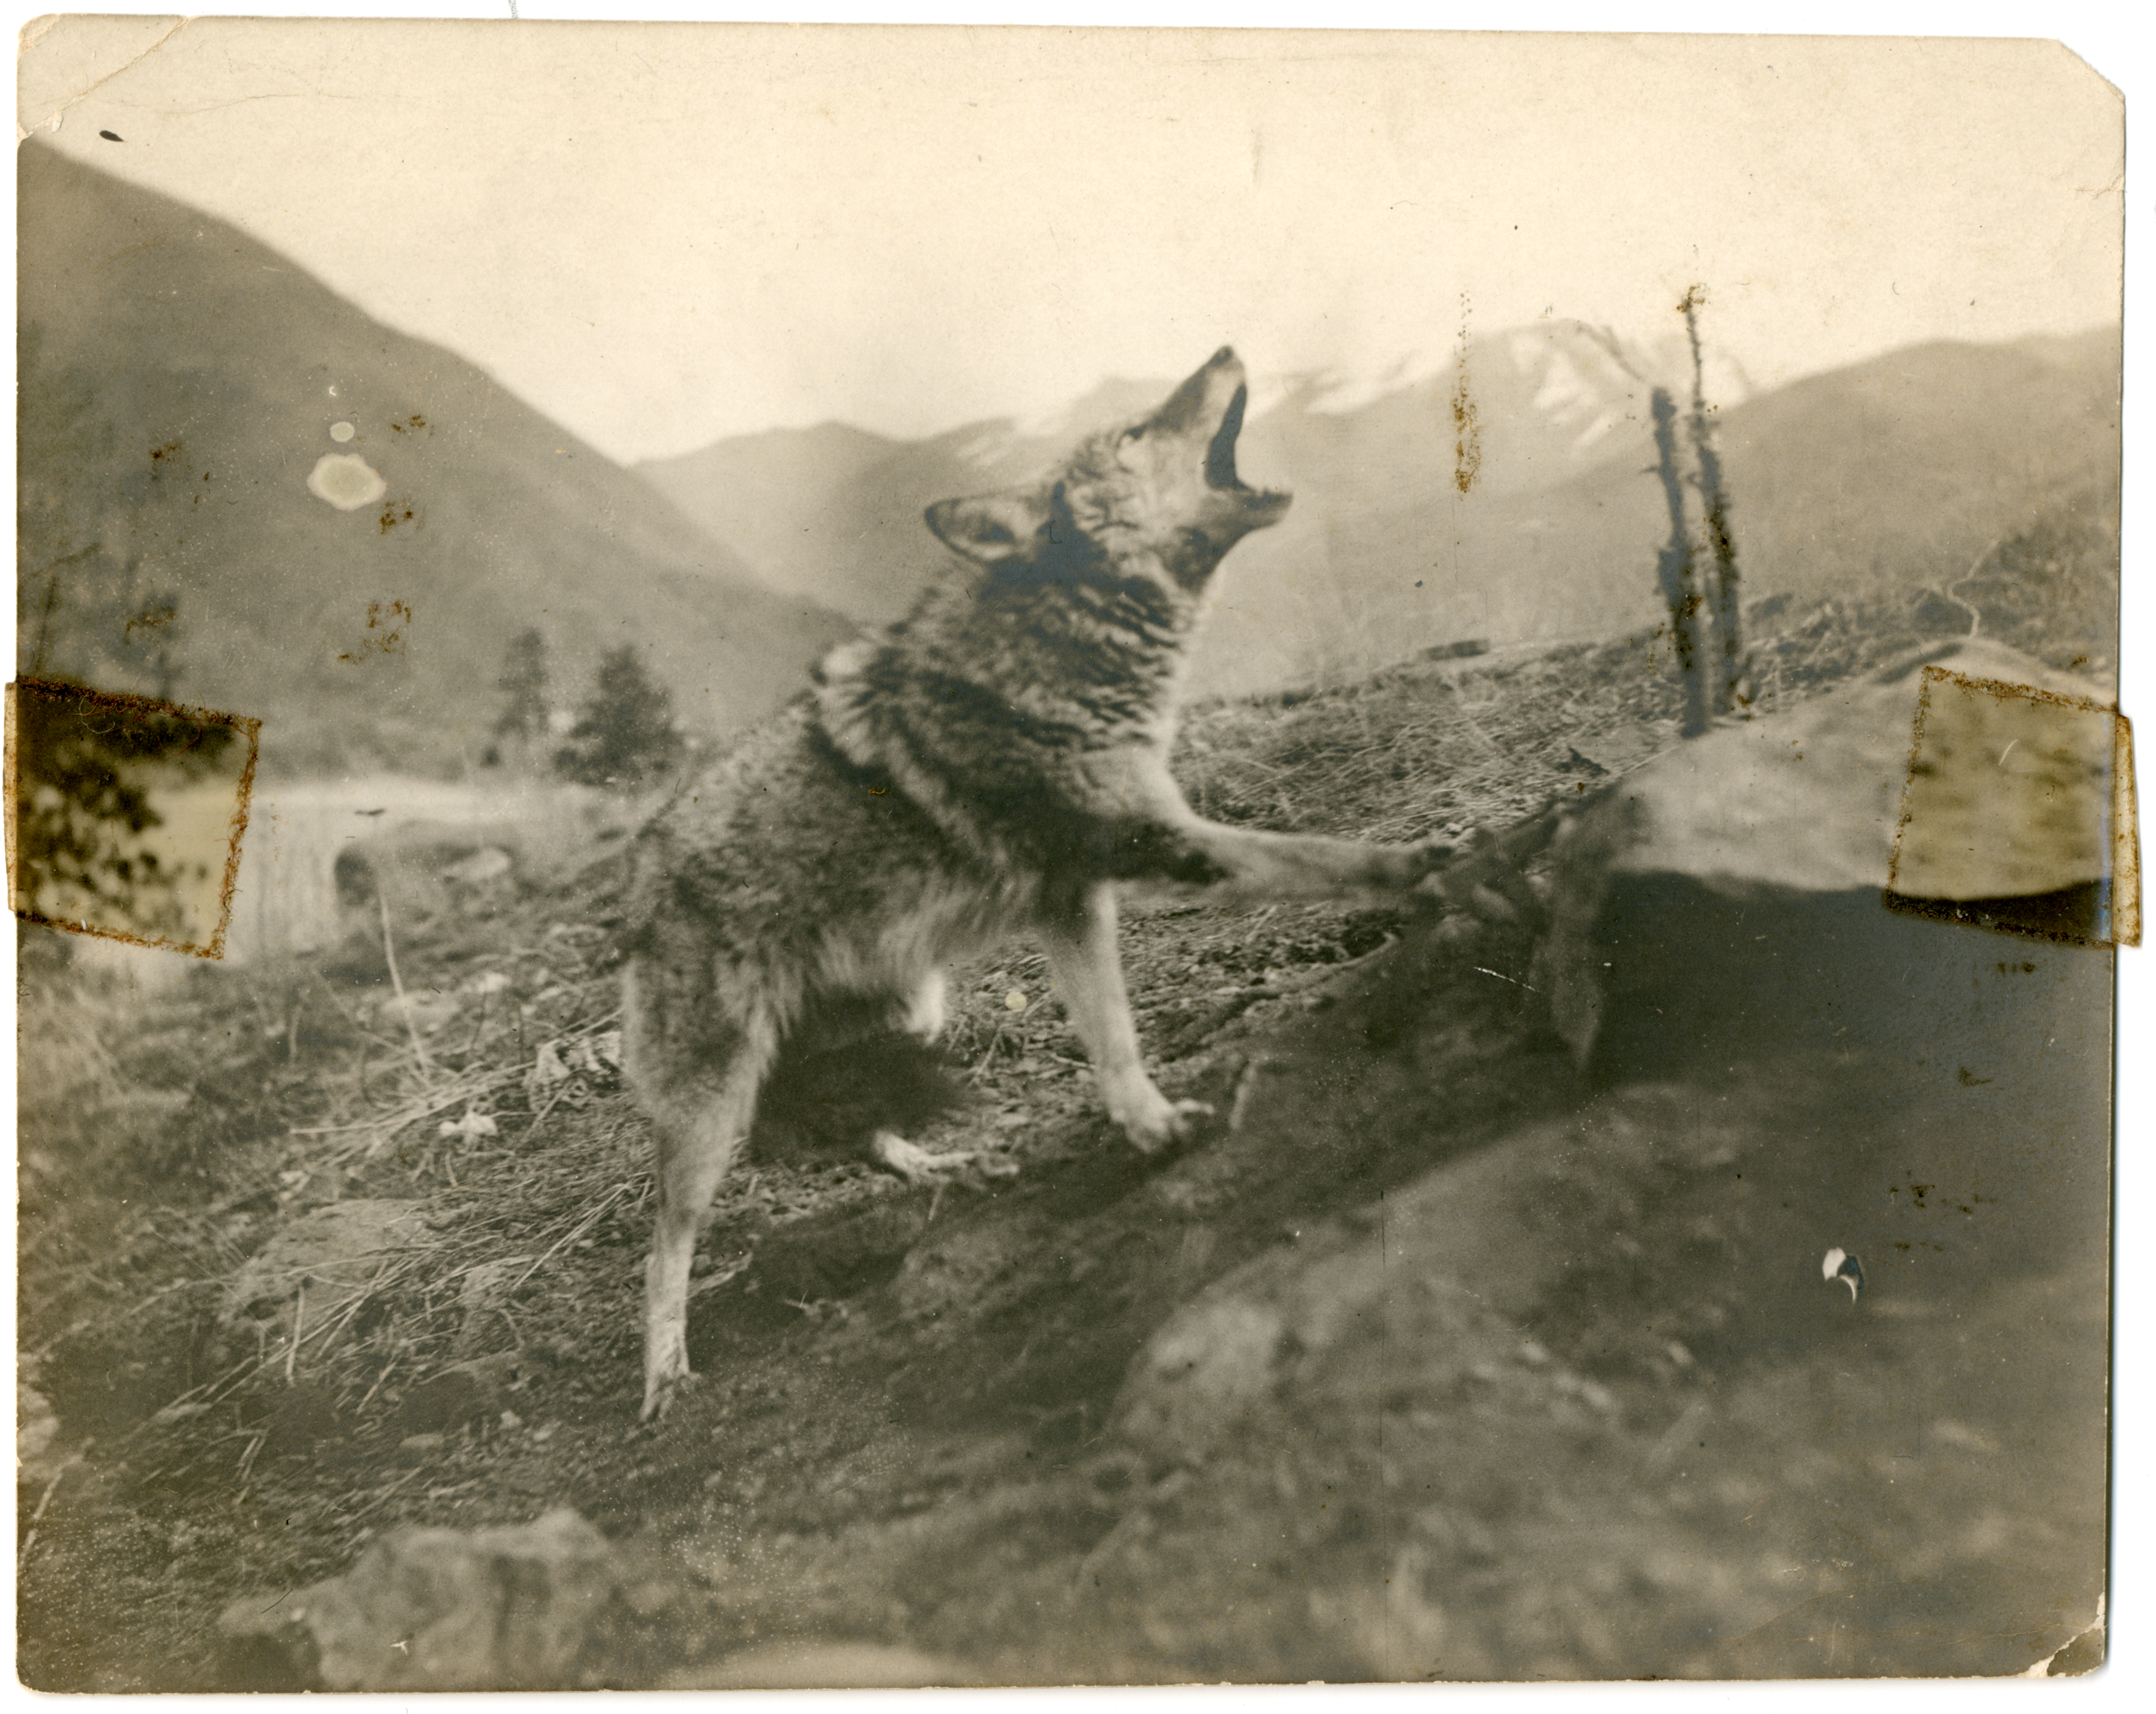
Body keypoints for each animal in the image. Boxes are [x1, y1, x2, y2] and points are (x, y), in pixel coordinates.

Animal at [621, 347, 1451, 1420]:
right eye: (1138, 430)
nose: (1226, 350)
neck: (1064, 656)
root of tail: (640, 882)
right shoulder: (1162, 849)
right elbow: (1321, 859)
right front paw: (1425, 864)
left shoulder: (1076, 901)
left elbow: (1113, 1037)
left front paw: (1146, 1124)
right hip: (715, 1111)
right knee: (665, 1242)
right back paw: (663, 1376)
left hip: (909, 1010)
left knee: (848, 1130)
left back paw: (954, 1164)